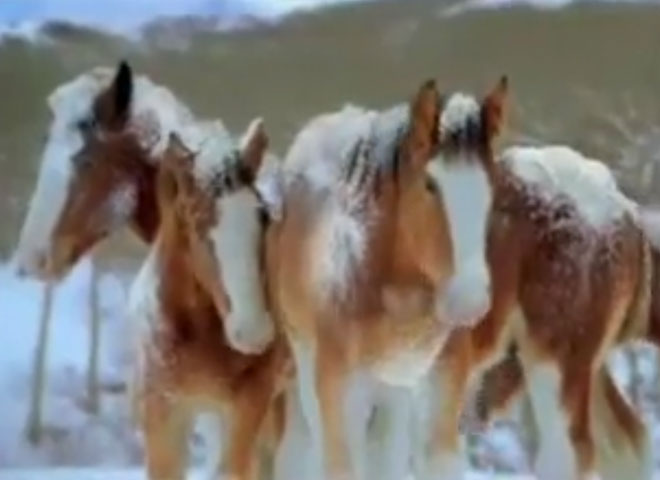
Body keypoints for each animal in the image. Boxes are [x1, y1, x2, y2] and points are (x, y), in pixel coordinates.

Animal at [262, 77, 506, 478]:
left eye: (493, 184)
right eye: (430, 185)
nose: (470, 300)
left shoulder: (442, 379)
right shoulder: (335, 385)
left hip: (392, 388)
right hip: (310, 366)